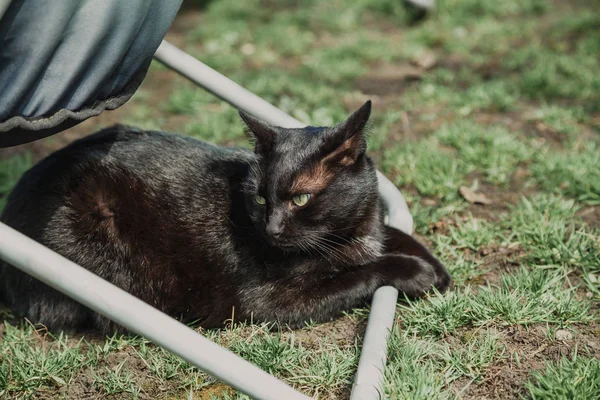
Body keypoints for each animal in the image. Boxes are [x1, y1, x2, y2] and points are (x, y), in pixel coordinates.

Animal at [0, 101, 450, 332]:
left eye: (301, 199)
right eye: (261, 198)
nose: (271, 228)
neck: (345, 236)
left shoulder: (370, 226)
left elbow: (394, 234)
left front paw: (438, 267)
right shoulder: (267, 302)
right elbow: (359, 274)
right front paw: (416, 272)